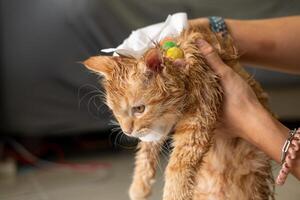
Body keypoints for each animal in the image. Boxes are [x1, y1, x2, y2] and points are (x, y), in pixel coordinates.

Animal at [82, 24, 274, 199]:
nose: (127, 131)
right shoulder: (159, 124)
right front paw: (139, 186)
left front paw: (173, 194)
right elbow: (146, 150)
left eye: (139, 109)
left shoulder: (200, 115)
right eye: (115, 111)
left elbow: (178, 164)